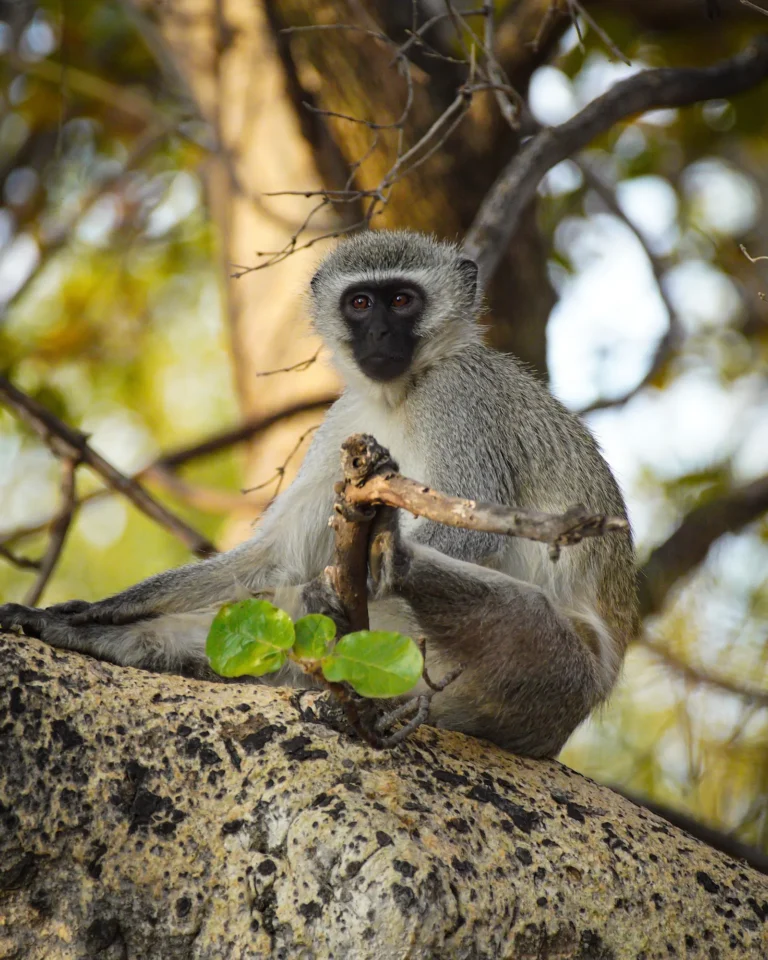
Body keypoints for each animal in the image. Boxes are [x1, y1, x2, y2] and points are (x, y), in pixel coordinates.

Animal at [0, 230, 638, 758]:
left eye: (401, 301)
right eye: (360, 303)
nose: (378, 333)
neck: (398, 395)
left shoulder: (460, 397)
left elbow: (471, 523)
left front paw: (337, 578)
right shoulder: (343, 424)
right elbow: (276, 555)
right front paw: (95, 611)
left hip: (555, 673)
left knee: (471, 596)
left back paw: (384, 559)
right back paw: (123, 643)